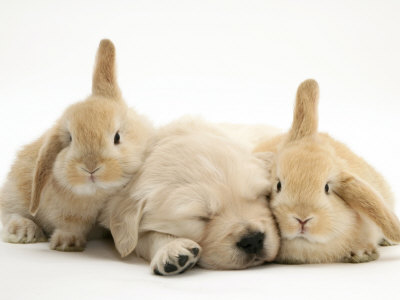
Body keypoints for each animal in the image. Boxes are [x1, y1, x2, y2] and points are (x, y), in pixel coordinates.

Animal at [0, 39, 153, 251]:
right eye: (71, 139)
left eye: (117, 137)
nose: (90, 167)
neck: (98, 195)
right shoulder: (67, 213)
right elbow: (70, 225)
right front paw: (67, 243)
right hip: (14, 191)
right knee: (9, 213)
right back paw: (24, 231)